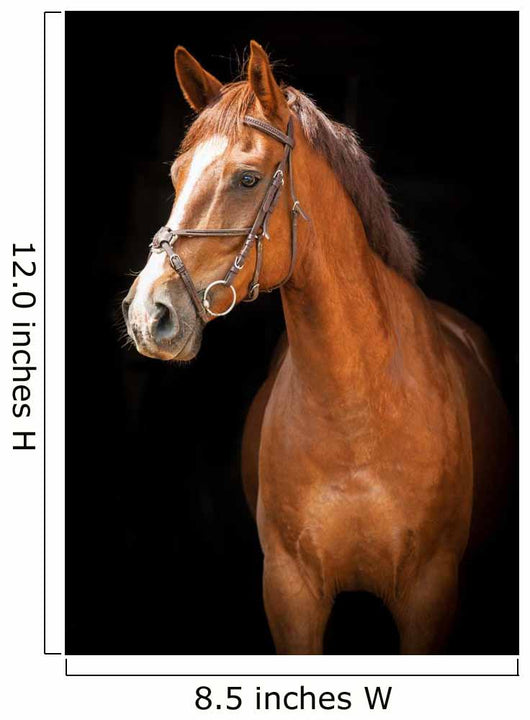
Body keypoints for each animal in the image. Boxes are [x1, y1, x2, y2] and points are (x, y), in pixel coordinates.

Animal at [122, 41, 513, 654]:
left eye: (248, 179)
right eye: (178, 175)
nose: (148, 314)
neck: (357, 419)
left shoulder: (429, 594)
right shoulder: (291, 592)